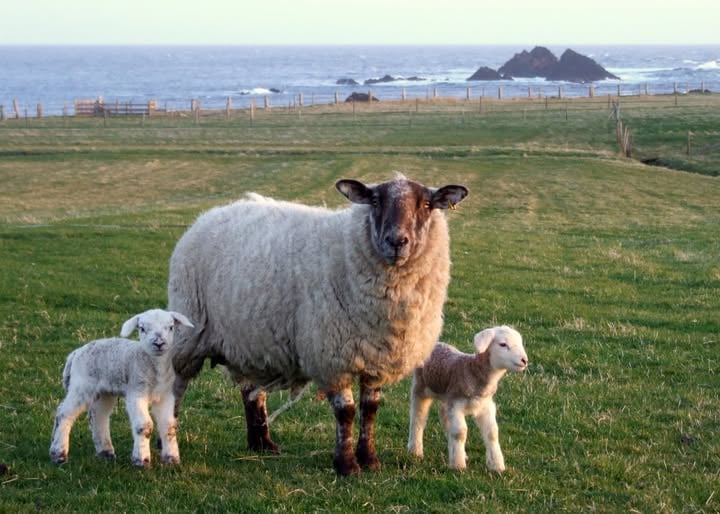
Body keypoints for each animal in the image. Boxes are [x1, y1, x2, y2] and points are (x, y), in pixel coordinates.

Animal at [49, 309, 194, 467]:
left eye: (171, 327)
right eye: (142, 328)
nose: (159, 343)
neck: (155, 370)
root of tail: (75, 353)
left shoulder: (165, 395)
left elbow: (169, 426)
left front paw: (172, 459)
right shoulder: (136, 392)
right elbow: (144, 425)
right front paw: (142, 460)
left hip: (104, 391)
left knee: (98, 415)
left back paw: (105, 452)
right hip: (82, 385)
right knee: (64, 414)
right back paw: (59, 454)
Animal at [168, 174, 468, 475]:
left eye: (427, 204)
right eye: (374, 201)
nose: (396, 241)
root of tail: (210, 215)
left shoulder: (376, 359)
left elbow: (370, 409)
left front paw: (370, 459)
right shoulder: (332, 356)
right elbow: (346, 412)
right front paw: (347, 465)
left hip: (250, 339)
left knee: (252, 391)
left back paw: (262, 443)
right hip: (188, 335)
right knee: (174, 389)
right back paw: (168, 443)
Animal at [407, 326, 528, 472]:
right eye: (503, 344)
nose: (524, 360)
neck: (473, 371)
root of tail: (437, 343)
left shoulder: (485, 406)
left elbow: (492, 433)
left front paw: (497, 465)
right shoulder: (456, 405)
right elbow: (460, 432)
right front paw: (459, 466)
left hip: (446, 398)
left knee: (445, 420)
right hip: (421, 387)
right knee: (418, 417)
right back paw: (415, 450)